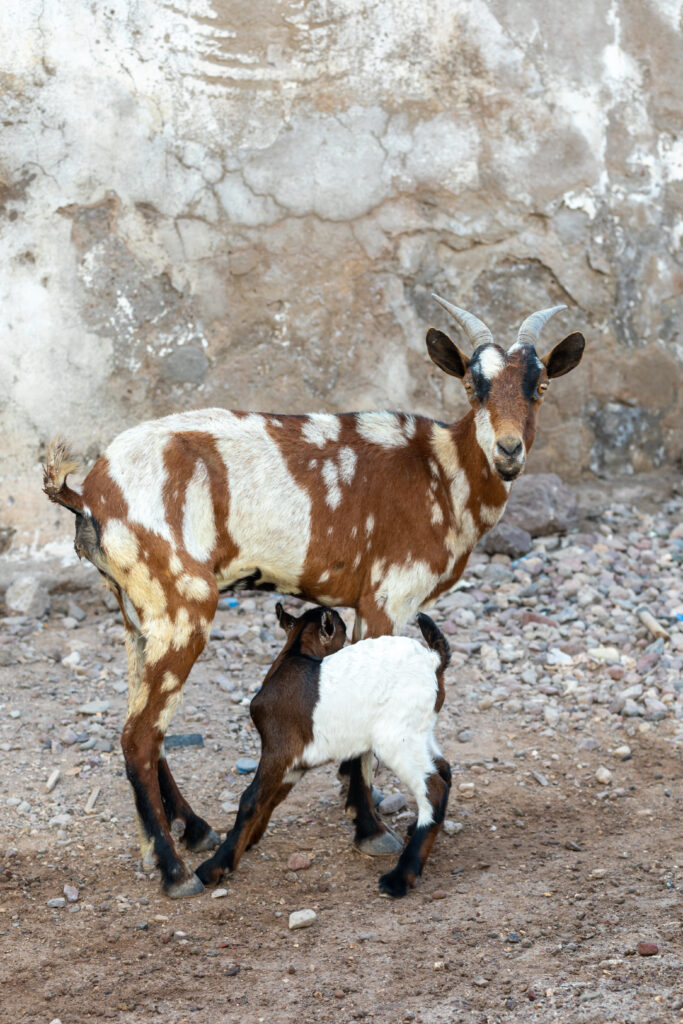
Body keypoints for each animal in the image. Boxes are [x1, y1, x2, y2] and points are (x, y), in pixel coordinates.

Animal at [197, 602, 450, 901]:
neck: (293, 654)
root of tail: (434, 660)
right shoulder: (296, 762)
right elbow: (272, 797)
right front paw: (247, 841)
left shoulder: (279, 748)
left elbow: (251, 799)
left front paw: (215, 867)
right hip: (419, 732)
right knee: (444, 770)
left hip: (396, 738)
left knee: (433, 788)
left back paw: (398, 879)